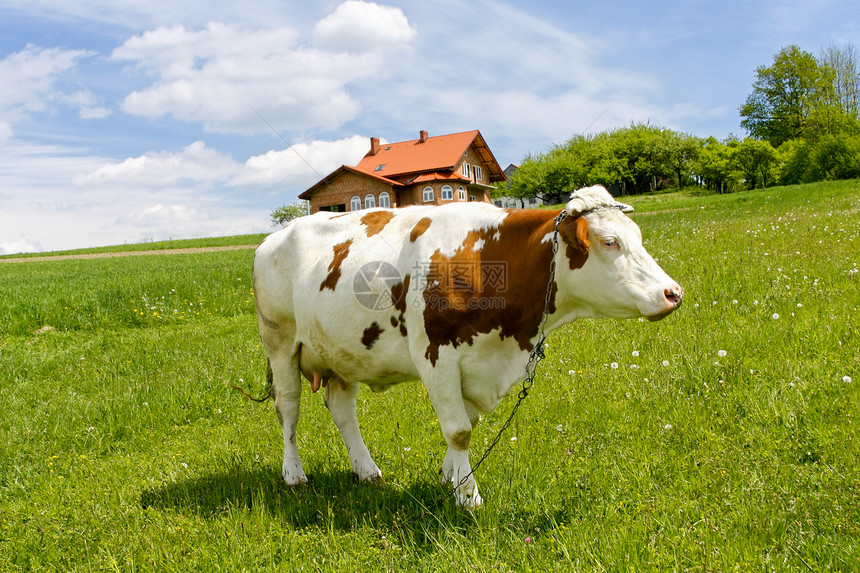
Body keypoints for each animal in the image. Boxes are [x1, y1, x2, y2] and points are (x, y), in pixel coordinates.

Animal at [252, 183, 680, 504]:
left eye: (637, 237)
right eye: (609, 242)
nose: (673, 293)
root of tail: (272, 238)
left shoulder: (481, 365)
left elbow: (467, 424)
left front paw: (451, 477)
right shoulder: (435, 357)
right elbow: (459, 430)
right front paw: (468, 496)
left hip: (343, 351)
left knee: (342, 410)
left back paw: (367, 470)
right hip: (280, 342)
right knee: (287, 409)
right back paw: (294, 474)